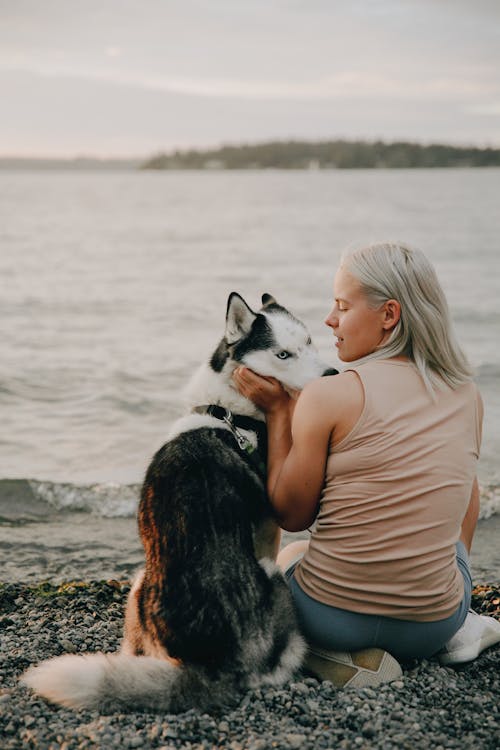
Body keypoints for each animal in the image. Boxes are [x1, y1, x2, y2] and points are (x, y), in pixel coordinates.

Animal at [22, 290, 336, 712]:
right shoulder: (269, 529)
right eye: (283, 354)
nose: (332, 375)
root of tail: (215, 666)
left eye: (309, 342)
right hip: (251, 573)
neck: (229, 413)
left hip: (141, 583)